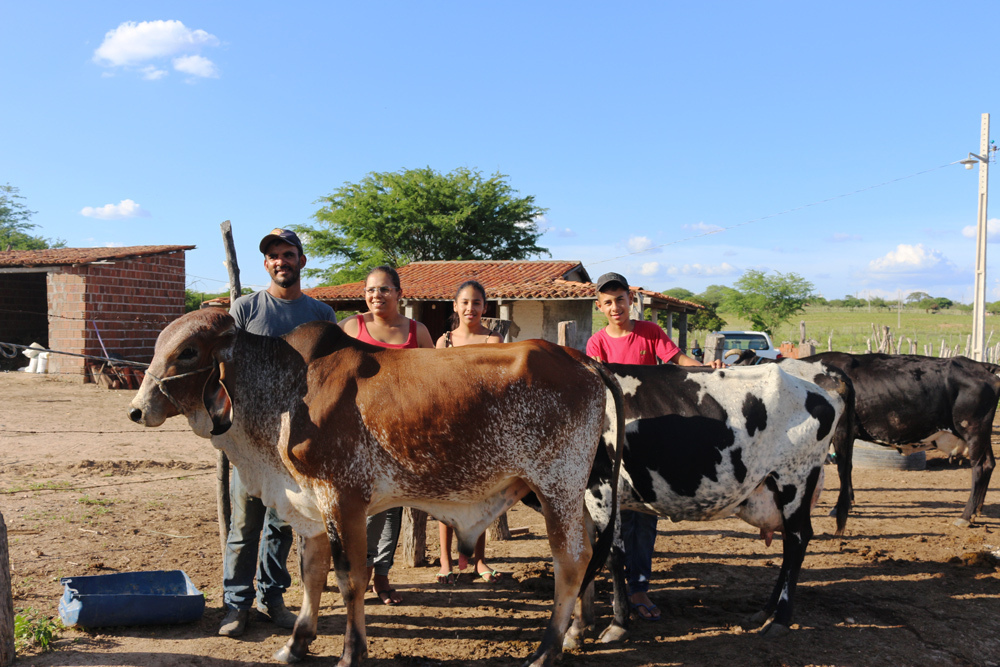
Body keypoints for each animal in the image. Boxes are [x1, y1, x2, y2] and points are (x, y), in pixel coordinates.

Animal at [128, 310, 620, 667]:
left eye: (188, 351)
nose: (136, 410)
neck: (285, 388)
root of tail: (581, 359)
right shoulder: (311, 505)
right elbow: (311, 572)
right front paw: (296, 643)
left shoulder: (343, 498)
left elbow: (350, 579)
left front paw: (351, 654)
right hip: (565, 491)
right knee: (589, 545)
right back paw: (576, 632)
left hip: (555, 484)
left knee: (571, 560)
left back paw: (546, 650)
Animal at [556, 358, 852, 648]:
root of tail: (818, 369)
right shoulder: (579, 496)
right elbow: (585, 554)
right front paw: (578, 627)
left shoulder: (602, 486)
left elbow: (612, 555)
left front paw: (617, 623)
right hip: (779, 490)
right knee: (792, 541)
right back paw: (766, 611)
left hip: (795, 478)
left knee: (797, 540)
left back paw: (780, 619)